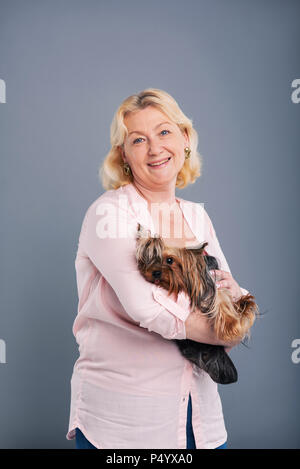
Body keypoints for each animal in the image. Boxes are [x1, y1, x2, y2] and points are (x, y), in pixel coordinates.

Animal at [135, 224, 258, 384]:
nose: (155, 273)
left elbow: (221, 297)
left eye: (169, 260)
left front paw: (230, 324)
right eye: (147, 259)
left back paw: (245, 304)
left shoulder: (213, 282)